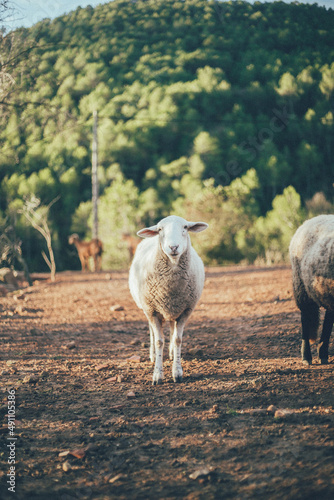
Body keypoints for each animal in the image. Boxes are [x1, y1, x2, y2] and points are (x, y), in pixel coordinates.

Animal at [129, 214, 207, 382]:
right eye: (159, 229)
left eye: (185, 227)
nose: (173, 247)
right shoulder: (151, 310)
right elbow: (159, 341)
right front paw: (157, 374)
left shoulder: (185, 310)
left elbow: (178, 339)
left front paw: (177, 372)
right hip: (148, 308)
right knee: (152, 333)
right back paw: (153, 355)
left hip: (173, 309)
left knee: (172, 328)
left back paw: (171, 353)